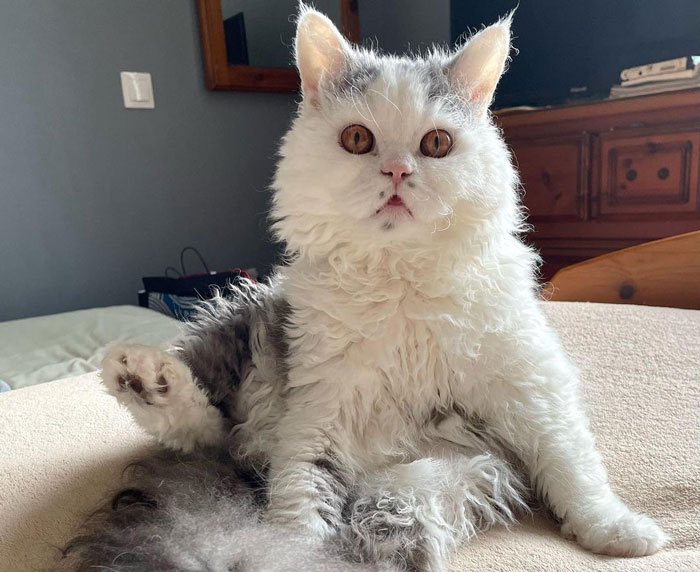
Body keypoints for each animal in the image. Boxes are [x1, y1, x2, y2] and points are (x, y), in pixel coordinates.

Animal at [98, 6, 668, 568]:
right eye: (358, 139)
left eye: (436, 143)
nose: (396, 171)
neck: (400, 279)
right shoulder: (316, 416)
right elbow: (299, 509)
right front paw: (293, 554)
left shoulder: (532, 382)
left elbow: (573, 467)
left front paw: (617, 531)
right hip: (245, 331)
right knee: (207, 428)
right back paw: (145, 378)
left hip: (437, 473)